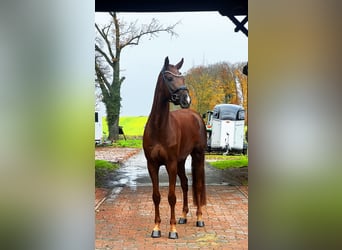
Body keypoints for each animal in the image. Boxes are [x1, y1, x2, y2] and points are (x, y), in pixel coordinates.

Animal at [143, 56, 207, 238]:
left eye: (182, 78)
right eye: (169, 78)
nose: (186, 99)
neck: (159, 127)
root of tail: (195, 115)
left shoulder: (170, 164)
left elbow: (171, 196)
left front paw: (172, 230)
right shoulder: (152, 165)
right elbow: (156, 196)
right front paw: (156, 228)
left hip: (197, 156)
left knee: (197, 185)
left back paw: (199, 218)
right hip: (181, 161)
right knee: (185, 184)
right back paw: (183, 216)